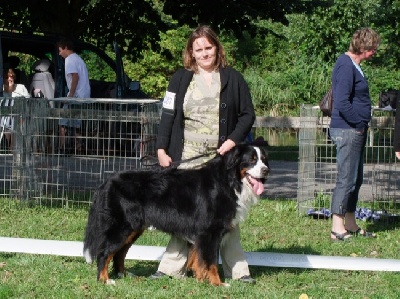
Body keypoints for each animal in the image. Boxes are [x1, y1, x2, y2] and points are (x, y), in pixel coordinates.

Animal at [82, 144, 268, 288]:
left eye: (264, 159)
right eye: (251, 160)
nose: (266, 170)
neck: (229, 181)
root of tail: (106, 182)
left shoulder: (200, 234)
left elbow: (198, 259)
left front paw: (201, 280)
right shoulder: (210, 232)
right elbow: (211, 261)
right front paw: (217, 283)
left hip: (133, 228)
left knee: (119, 253)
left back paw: (124, 275)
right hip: (122, 227)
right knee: (104, 253)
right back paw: (105, 280)